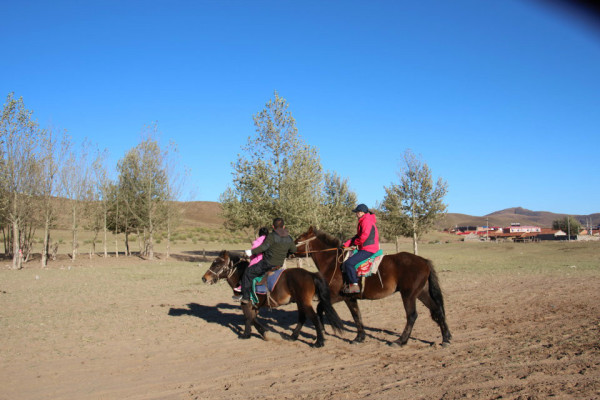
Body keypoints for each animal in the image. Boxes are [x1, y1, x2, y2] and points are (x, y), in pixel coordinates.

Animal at [202, 250, 342, 346]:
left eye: (217, 265)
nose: (204, 278)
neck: (241, 277)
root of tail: (311, 274)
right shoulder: (254, 305)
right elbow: (251, 318)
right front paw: (257, 333)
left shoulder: (245, 302)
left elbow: (248, 317)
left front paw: (251, 334)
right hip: (300, 302)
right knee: (302, 318)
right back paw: (293, 336)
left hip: (304, 302)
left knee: (314, 318)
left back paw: (319, 342)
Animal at [296, 228, 450, 346]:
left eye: (298, 239)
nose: (290, 250)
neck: (332, 262)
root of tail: (424, 261)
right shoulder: (351, 298)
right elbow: (357, 316)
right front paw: (359, 338)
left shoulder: (338, 296)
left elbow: (320, 307)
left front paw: (323, 330)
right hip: (421, 293)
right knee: (437, 310)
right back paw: (446, 339)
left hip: (409, 295)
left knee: (412, 315)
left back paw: (400, 341)